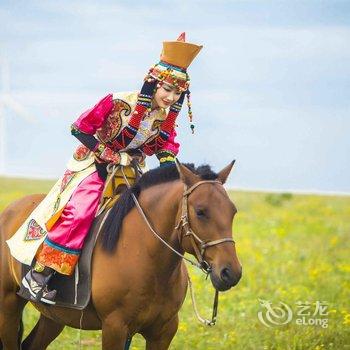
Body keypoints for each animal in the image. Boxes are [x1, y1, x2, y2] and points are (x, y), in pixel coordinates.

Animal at [0, 162, 241, 350]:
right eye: (200, 211)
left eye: (233, 211)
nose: (231, 273)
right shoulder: (115, 327)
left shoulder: (163, 331)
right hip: (8, 305)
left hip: (55, 316)